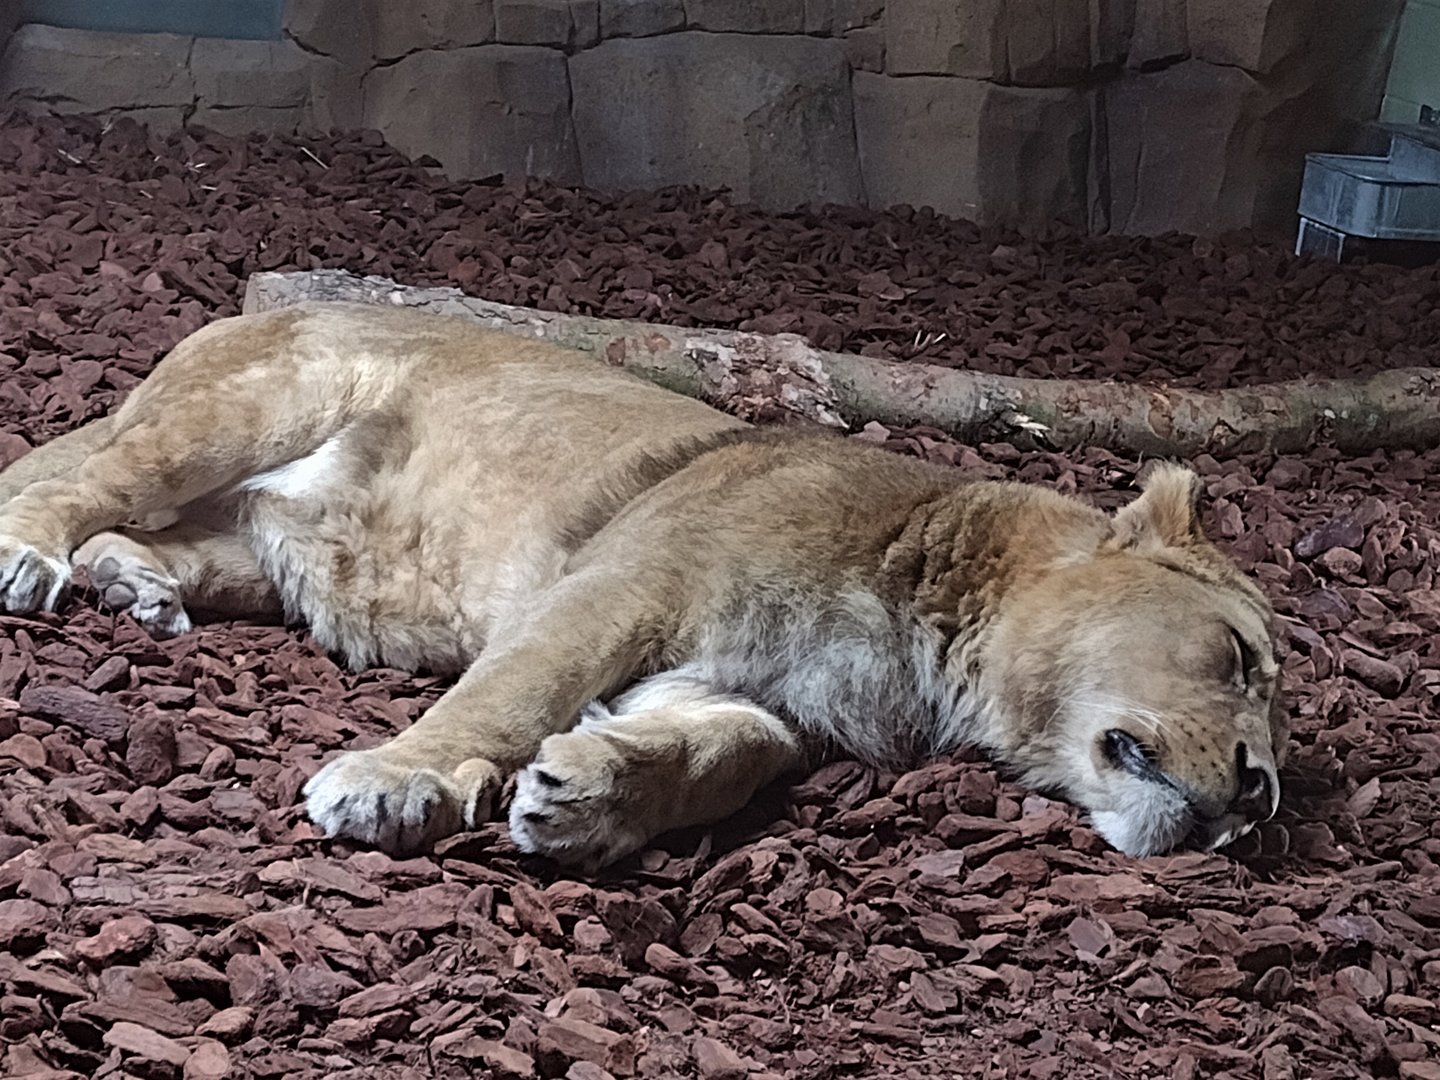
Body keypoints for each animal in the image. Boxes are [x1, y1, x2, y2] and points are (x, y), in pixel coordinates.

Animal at [0, 302, 1286, 870]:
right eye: (1238, 656)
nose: (1263, 794)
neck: (935, 639)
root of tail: (246, 307)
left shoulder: (762, 702)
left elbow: (724, 758)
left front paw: (589, 800)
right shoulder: (623, 586)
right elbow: (509, 692)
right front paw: (396, 784)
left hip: (257, 547)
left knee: (156, 533)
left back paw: (133, 589)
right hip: (251, 406)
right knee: (76, 479)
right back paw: (34, 556)